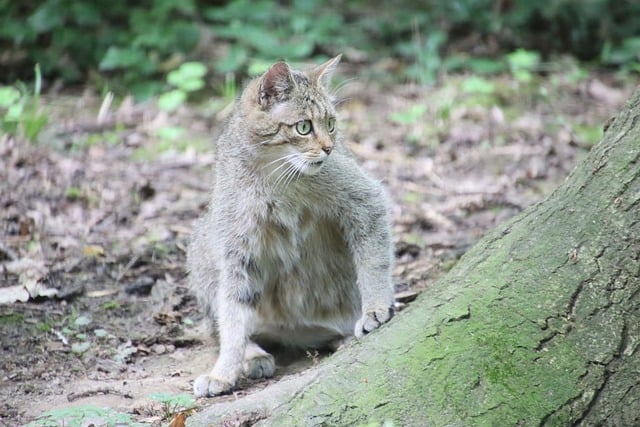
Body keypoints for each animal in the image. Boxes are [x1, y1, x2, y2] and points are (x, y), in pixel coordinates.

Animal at [186, 55, 396, 400]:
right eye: (304, 126)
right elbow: (231, 317)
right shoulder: (234, 250)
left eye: (331, 124)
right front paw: (225, 370)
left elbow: (373, 265)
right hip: (202, 247)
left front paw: (375, 308)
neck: (272, 176)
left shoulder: (366, 200)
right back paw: (253, 356)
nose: (328, 148)